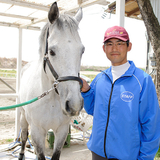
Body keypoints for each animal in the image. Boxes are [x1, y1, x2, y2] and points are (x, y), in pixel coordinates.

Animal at [18, 1, 84, 159]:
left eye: (82, 51)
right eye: (52, 51)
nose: (74, 105)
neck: (52, 100)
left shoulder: (62, 131)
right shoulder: (37, 131)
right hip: (23, 117)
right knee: (23, 136)